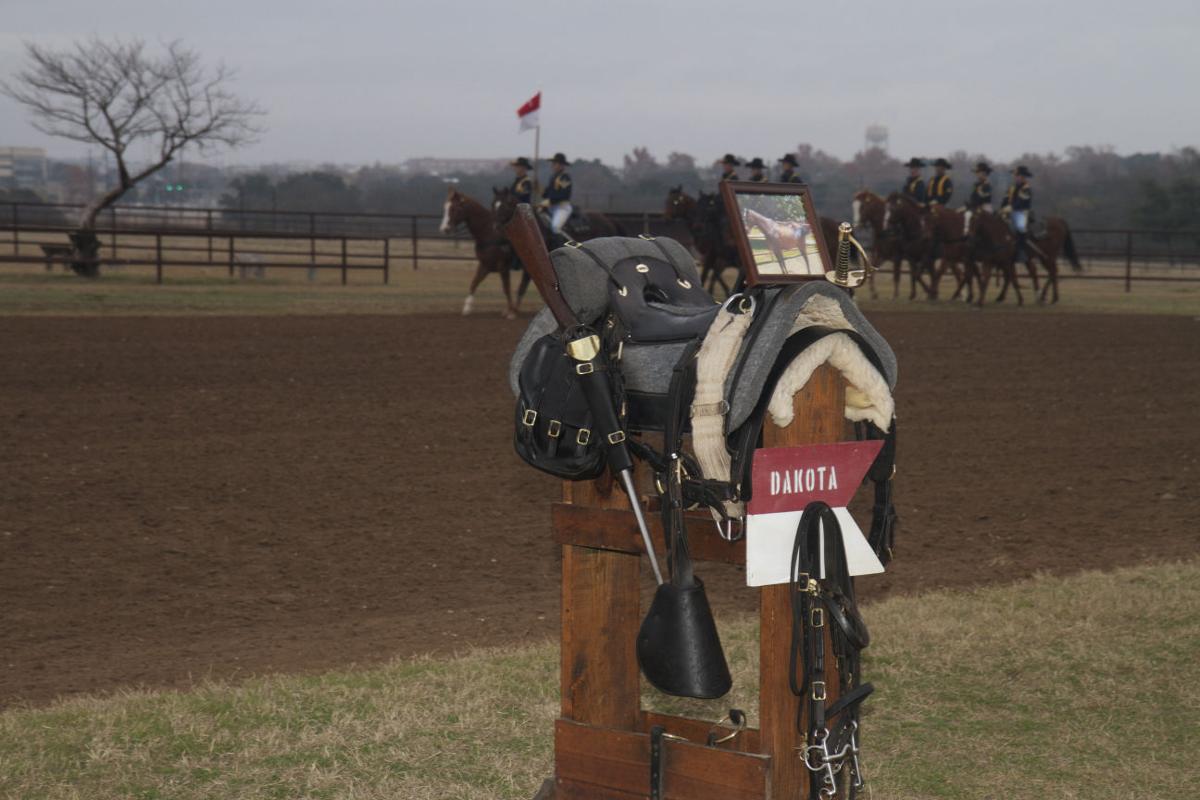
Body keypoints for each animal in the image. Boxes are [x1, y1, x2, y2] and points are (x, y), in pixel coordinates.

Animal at [439, 188, 518, 319]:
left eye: (454, 208)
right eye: (445, 207)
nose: (444, 229)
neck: (490, 233)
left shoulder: (503, 266)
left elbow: (506, 287)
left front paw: (511, 312)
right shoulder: (485, 265)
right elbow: (474, 283)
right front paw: (467, 308)